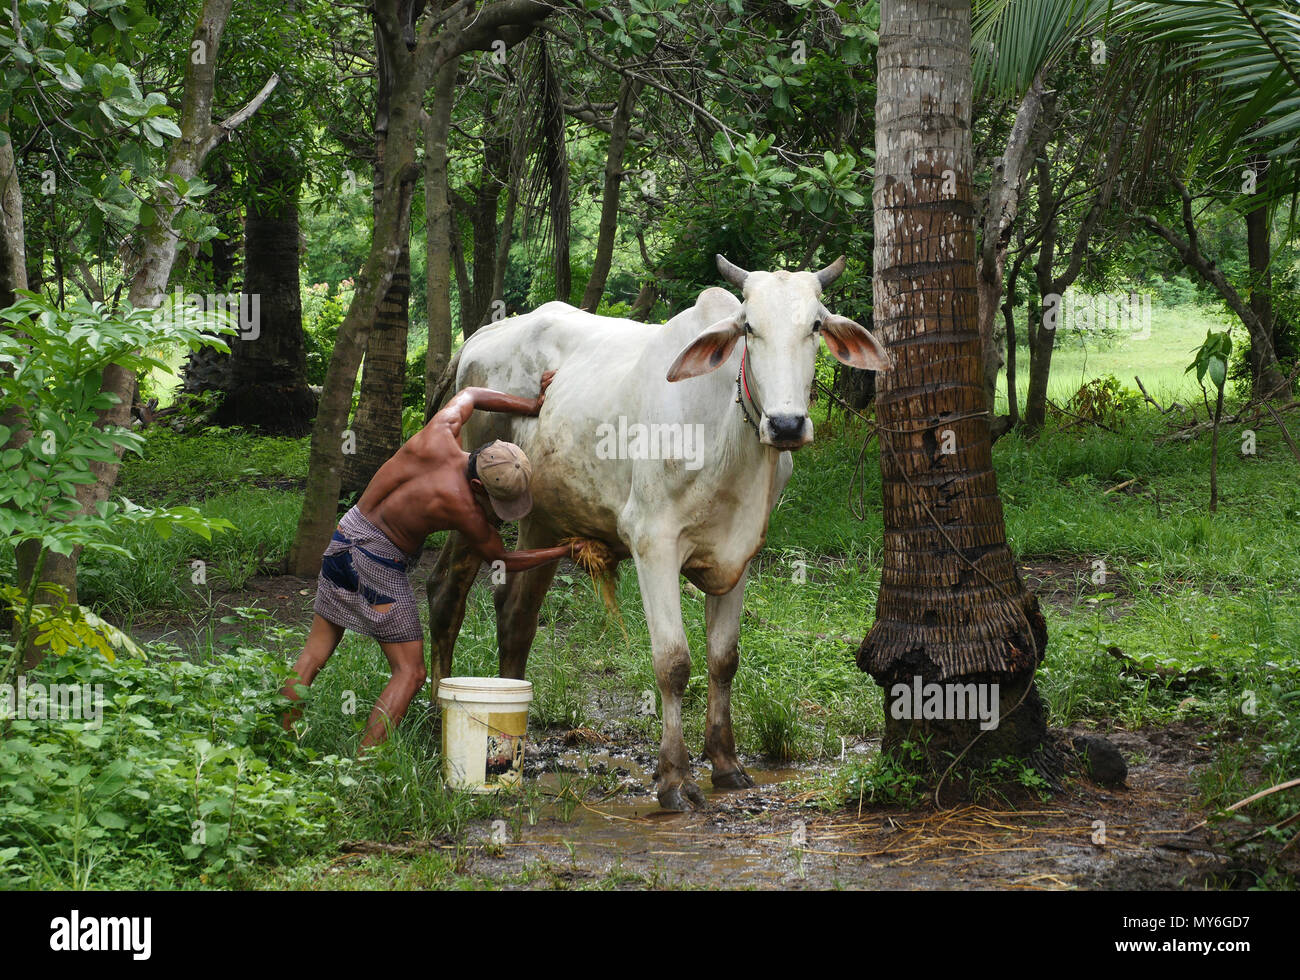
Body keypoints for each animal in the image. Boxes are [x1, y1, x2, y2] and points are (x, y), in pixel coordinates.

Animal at [426, 253, 894, 811]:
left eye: (816, 327)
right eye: (748, 328)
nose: (786, 425)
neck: (727, 433)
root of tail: (483, 335)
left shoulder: (740, 553)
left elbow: (724, 659)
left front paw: (726, 763)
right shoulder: (653, 543)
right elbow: (673, 663)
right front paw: (674, 778)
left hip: (541, 516)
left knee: (517, 614)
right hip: (474, 492)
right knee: (445, 591)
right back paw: (432, 717)